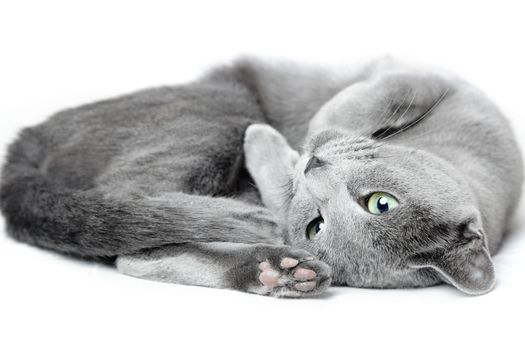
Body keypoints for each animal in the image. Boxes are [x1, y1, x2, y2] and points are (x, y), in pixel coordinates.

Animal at [1, 58, 520, 298]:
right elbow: (348, 104)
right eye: (382, 202)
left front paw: (284, 159)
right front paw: (302, 140)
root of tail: (28, 139)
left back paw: (277, 272)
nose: (313, 166)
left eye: (317, 226)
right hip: (218, 112)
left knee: (136, 251)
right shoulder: (429, 79)